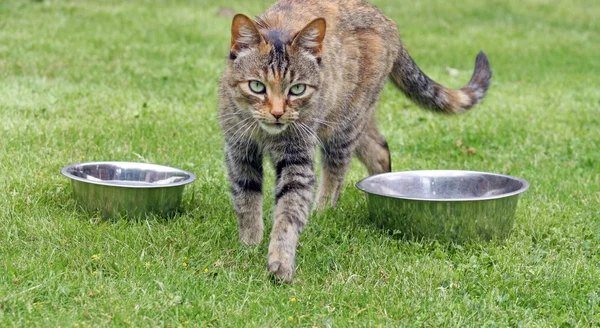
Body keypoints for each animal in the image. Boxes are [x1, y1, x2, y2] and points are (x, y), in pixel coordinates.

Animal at [218, 0, 490, 282]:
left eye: (297, 89)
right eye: (257, 86)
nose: (277, 113)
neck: (266, 134)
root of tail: (388, 21)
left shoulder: (297, 157)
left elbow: (289, 212)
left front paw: (280, 260)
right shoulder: (239, 150)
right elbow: (246, 199)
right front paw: (250, 243)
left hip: (344, 125)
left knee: (337, 172)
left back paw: (322, 211)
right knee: (379, 149)